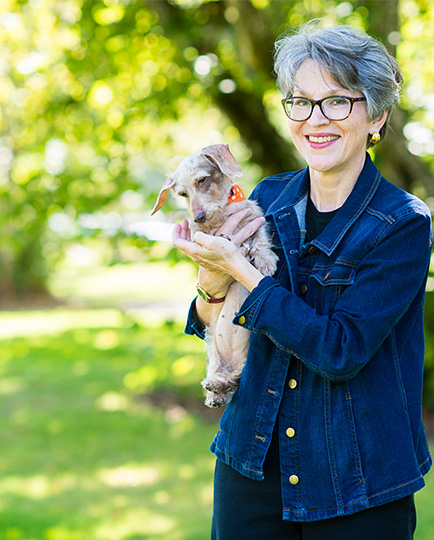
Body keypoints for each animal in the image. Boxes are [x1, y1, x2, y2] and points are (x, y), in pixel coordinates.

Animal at [153, 146, 278, 408]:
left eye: (202, 180)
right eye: (182, 194)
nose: (198, 217)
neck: (222, 213)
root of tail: (233, 364)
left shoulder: (255, 218)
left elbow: (260, 239)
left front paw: (265, 260)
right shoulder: (199, 236)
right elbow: (210, 236)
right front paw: (229, 240)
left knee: (237, 377)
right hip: (213, 347)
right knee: (221, 375)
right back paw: (215, 389)